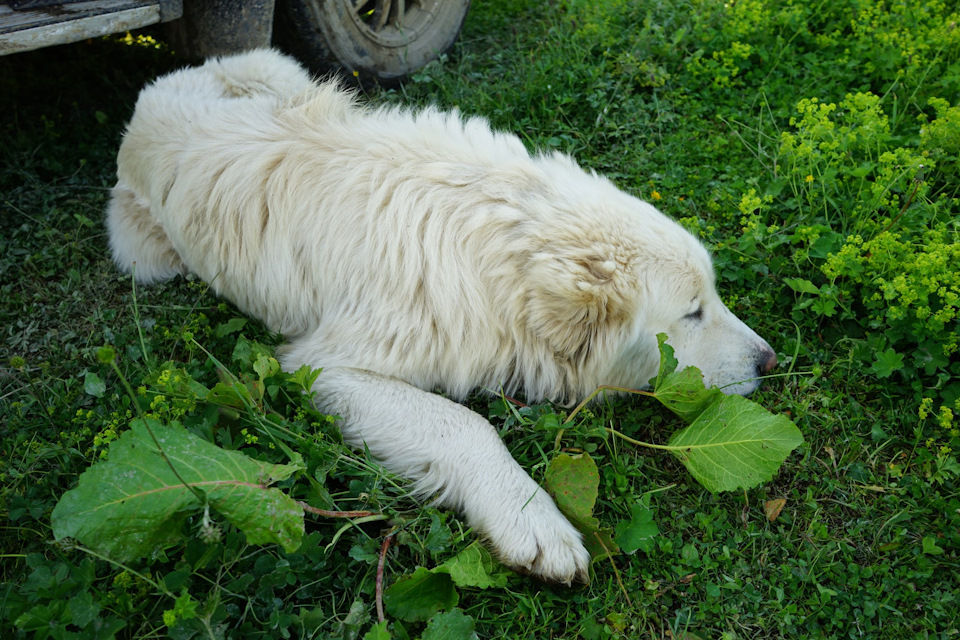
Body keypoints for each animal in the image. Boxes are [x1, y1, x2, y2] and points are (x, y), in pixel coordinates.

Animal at [107, 50, 780, 584]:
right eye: (692, 312)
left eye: (713, 297)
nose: (771, 362)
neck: (502, 244)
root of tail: (148, 93)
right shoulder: (323, 367)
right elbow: (464, 424)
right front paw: (531, 518)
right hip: (145, 258)